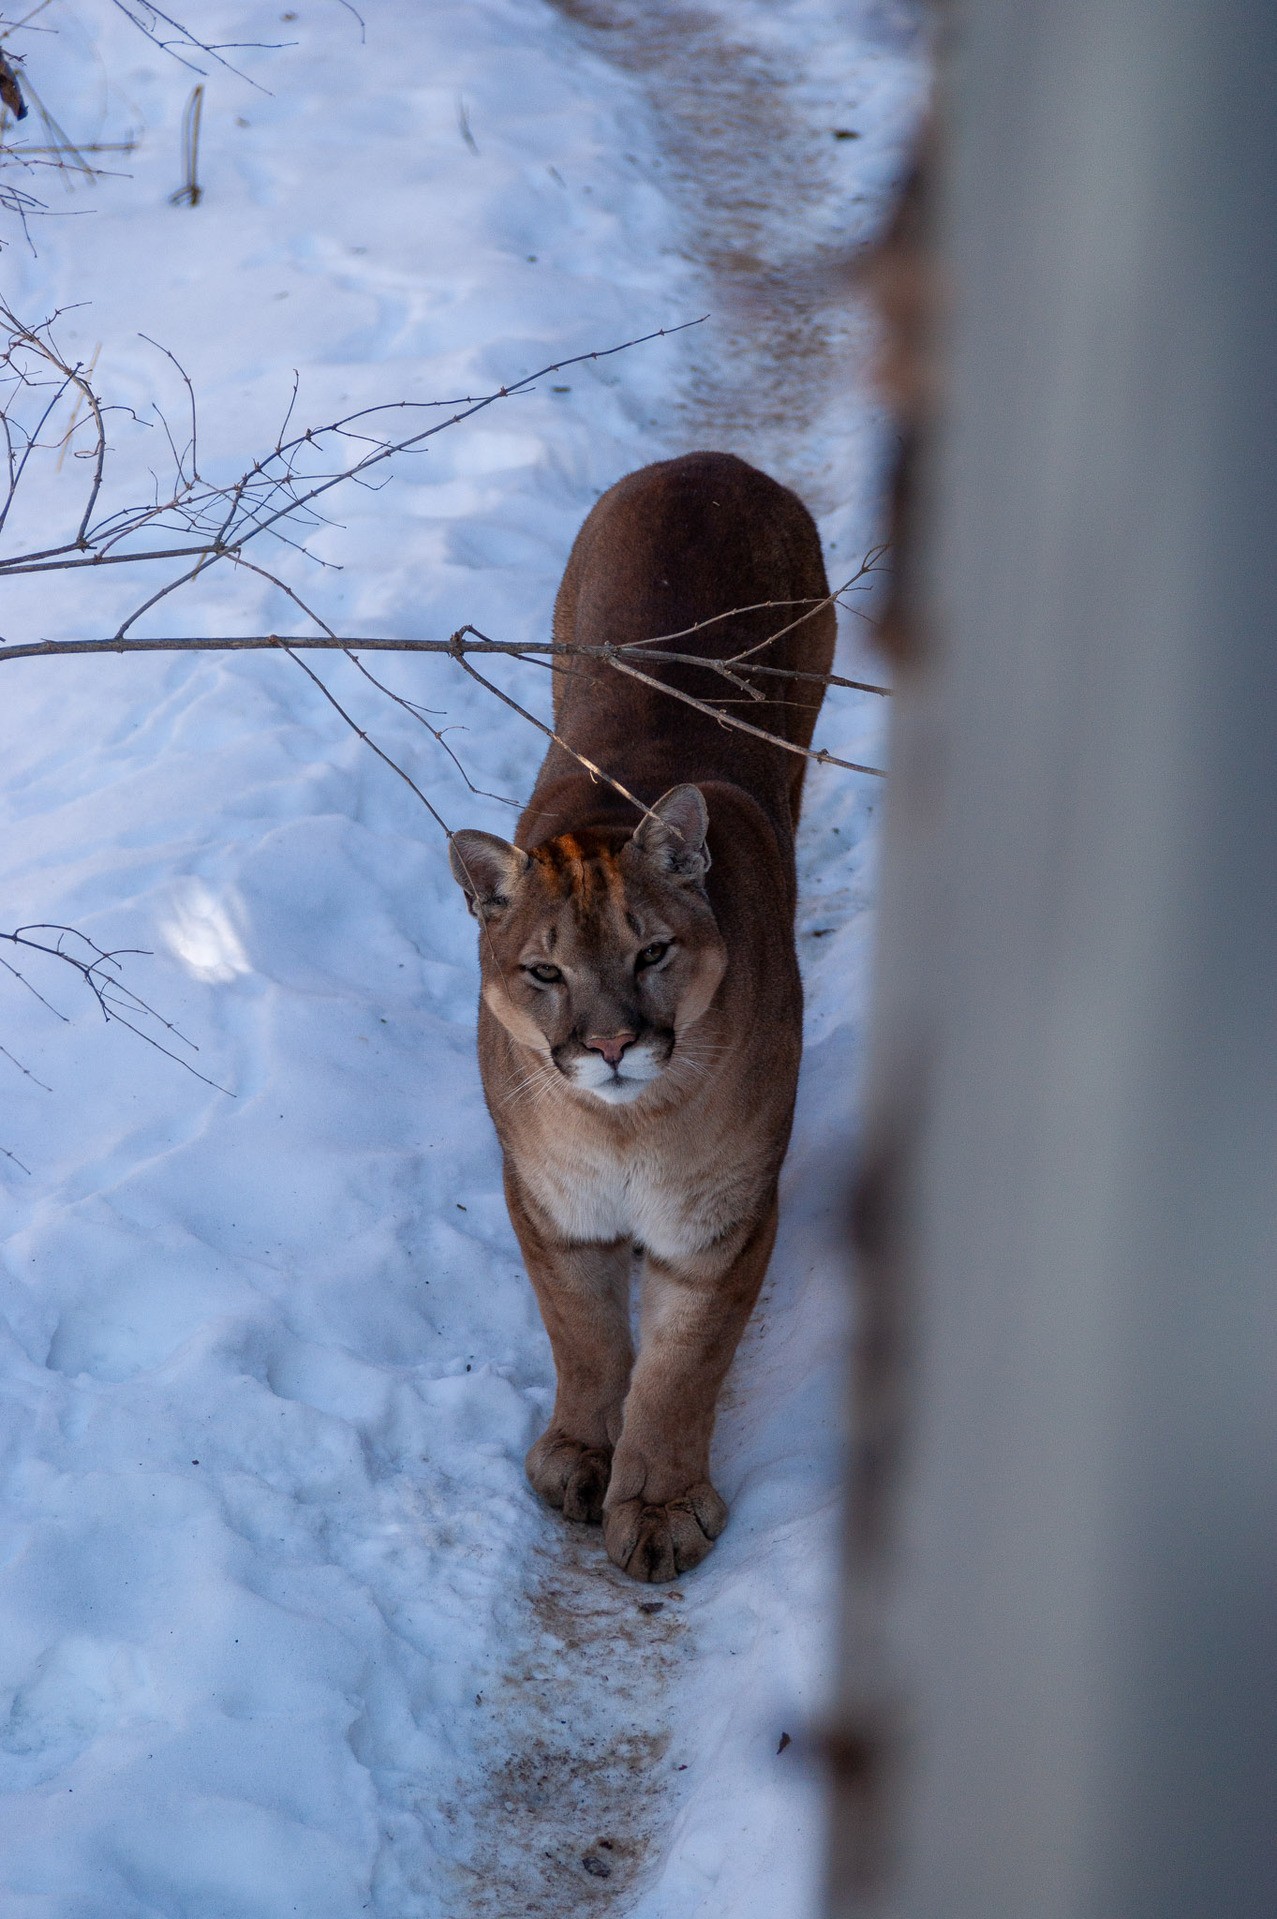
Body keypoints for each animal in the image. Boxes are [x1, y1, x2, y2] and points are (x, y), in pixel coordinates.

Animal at [451, 452, 837, 1588]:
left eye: (652, 953)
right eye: (543, 970)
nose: (613, 1043)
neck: (623, 1128)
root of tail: (711, 461)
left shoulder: (720, 1221)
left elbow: (680, 1364)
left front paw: (659, 1506)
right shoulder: (549, 1200)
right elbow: (580, 1331)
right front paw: (582, 1453)